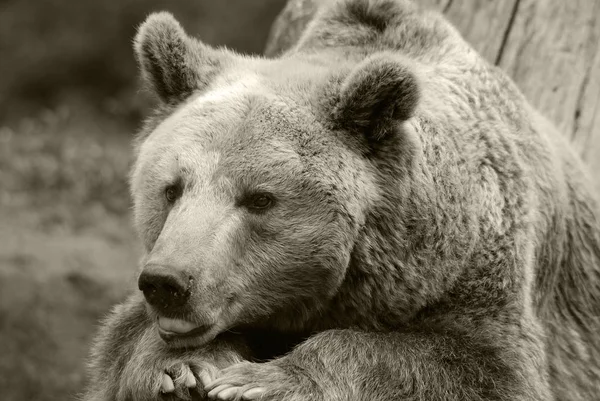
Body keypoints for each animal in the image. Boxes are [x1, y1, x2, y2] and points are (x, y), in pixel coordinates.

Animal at [81, 0, 600, 400]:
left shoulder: (477, 273)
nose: (168, 282)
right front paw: (184, 369)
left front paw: (260, 381)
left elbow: (480, 368)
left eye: (259, 199)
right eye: (172, 188)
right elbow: (125, 341)